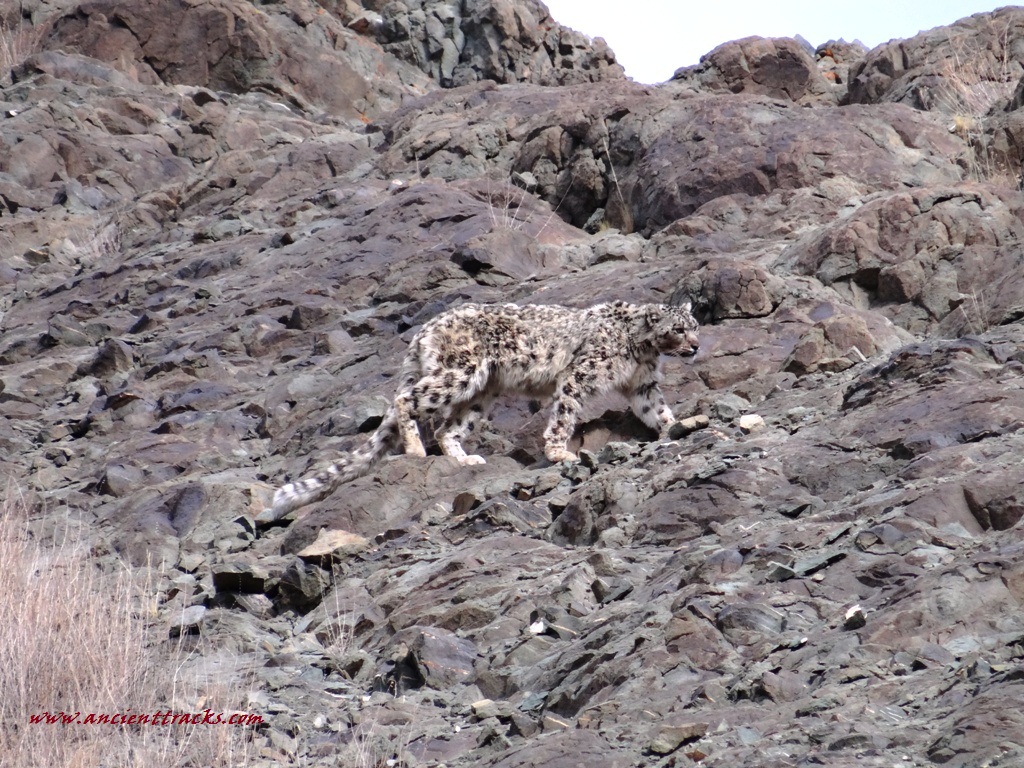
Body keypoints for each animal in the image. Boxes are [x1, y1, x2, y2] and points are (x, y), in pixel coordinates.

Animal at [264, 301, 700, 524]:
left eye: (694, 323)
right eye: (678, 329)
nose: (696, 346)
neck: (640, 350)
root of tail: (423, 331)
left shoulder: (643, 385)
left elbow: (658, 410)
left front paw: (679, 425)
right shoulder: (578, 376)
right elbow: (564, 414)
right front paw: (559, 451)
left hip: (480, 394)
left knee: (447, 428)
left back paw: (464, 459)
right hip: (460, 372)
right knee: (407, 402)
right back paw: (415, 448)